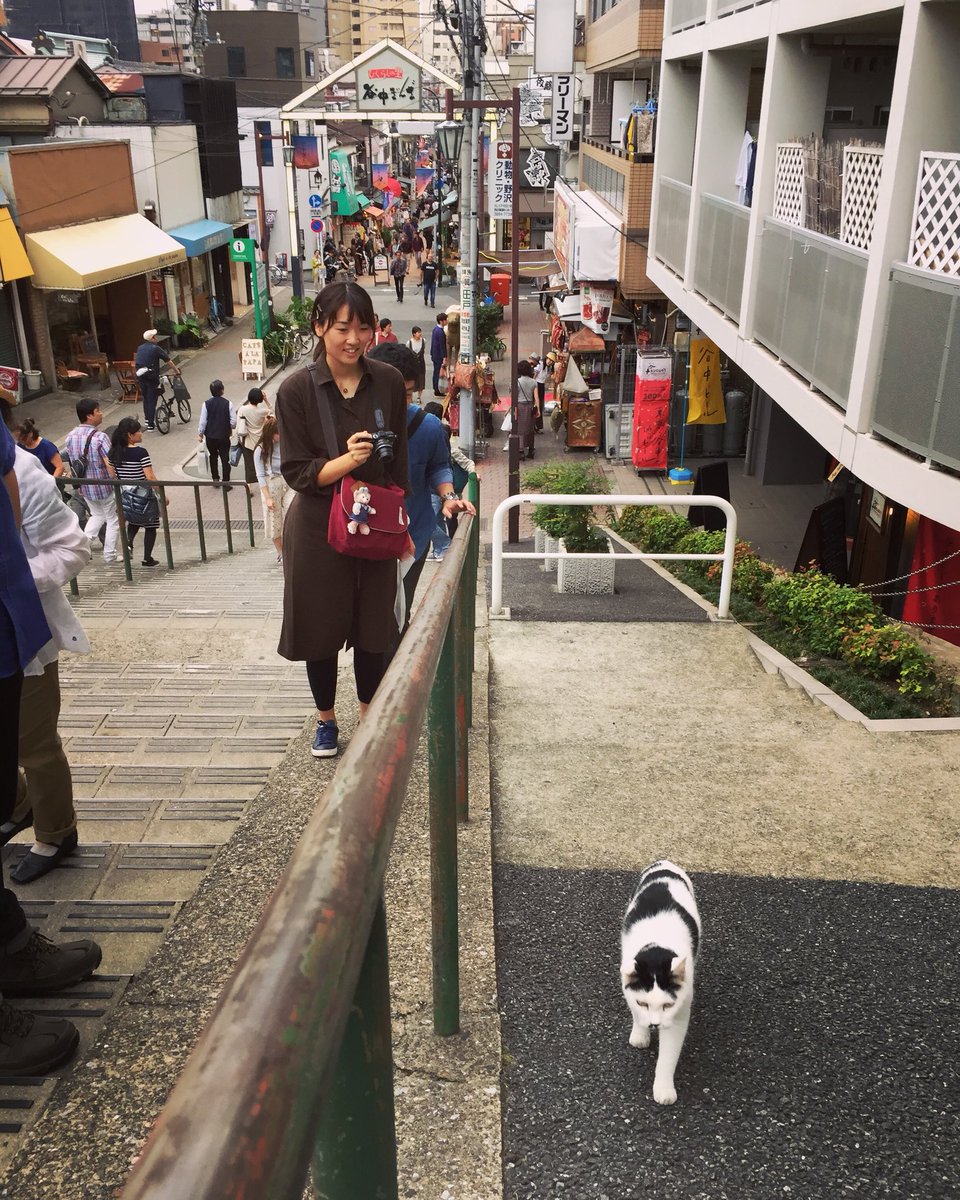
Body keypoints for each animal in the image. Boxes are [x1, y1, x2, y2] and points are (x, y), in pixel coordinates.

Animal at [619, 864, 700, 1104]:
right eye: (643, 1003)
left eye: (668, 1006)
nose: (655, 1024)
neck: (656, 950)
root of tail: (664, 863)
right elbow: (636, 1013)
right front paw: (640, 1034)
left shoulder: (680, 1013)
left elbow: (667, 1057)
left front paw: (663, 1089)